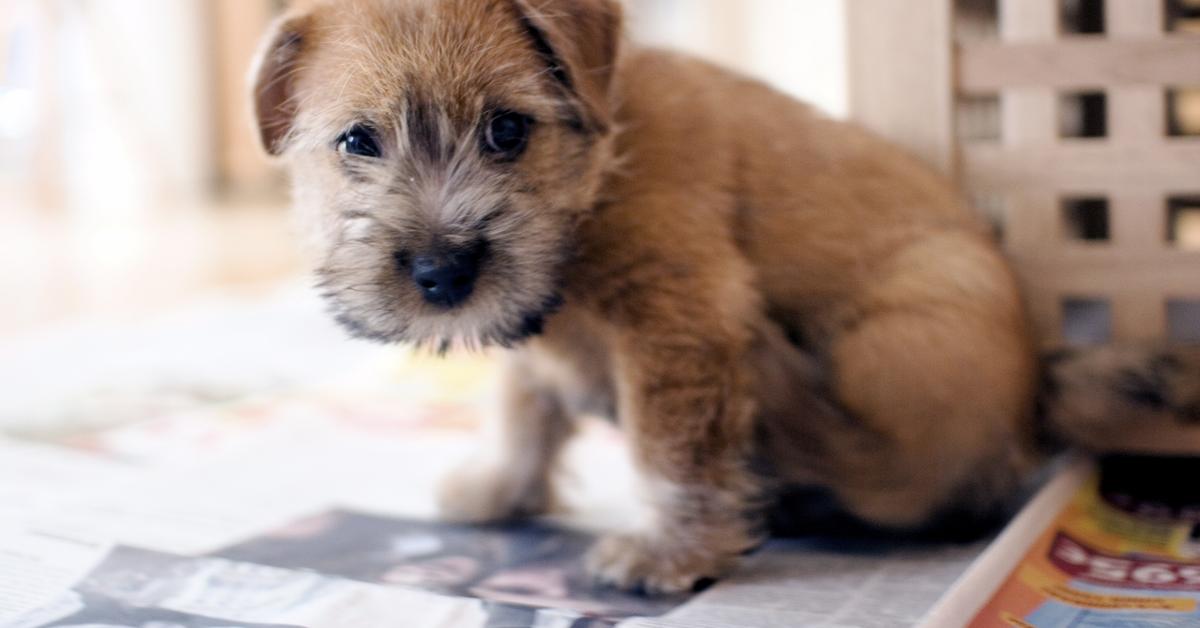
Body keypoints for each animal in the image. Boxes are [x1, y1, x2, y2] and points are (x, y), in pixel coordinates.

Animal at [253, 0, 1200, 595]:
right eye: (357, 142)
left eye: (507, 130)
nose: (442, 275)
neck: (598, 172)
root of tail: (1039, 388)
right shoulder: (539, 332)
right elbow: (523, 405)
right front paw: (498, 488)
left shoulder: (679, 326)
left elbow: (671, 454)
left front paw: (667, 555)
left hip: (899, 337)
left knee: (902, 476)